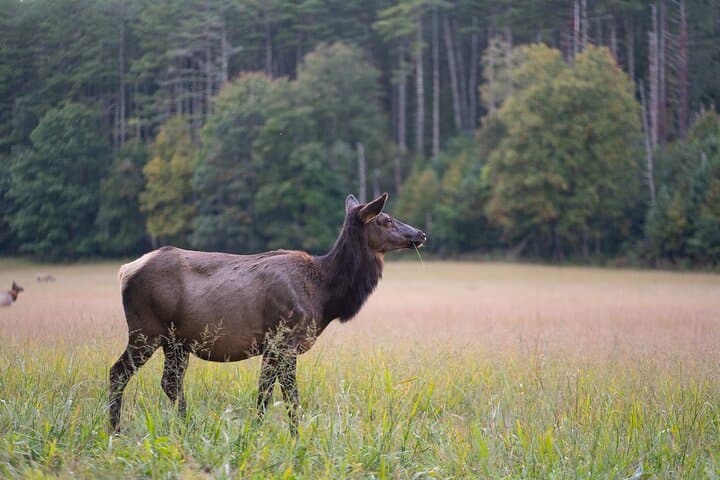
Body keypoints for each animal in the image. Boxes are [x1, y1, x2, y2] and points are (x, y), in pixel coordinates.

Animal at [110, 193, 426, 433]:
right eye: (386, 219)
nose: (421, 233)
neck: (324, 295)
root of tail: (125, 271)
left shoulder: (272, 346)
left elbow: (264, 393)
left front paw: (257, 433)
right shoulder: (285, 338)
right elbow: (289, 396)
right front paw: (295, 437)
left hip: (175, 341)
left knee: (170, 382)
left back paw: (186, 427)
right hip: (145, 329)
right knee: (118, 373)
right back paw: (115, 429)